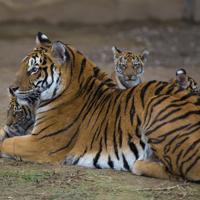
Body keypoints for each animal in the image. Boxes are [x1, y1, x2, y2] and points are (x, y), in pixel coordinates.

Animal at [0, 32, 200, 181]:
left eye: (34, 69)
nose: (11, 88)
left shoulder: (42, 142)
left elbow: (6, 143)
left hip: (156, 105)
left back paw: (138, 164)